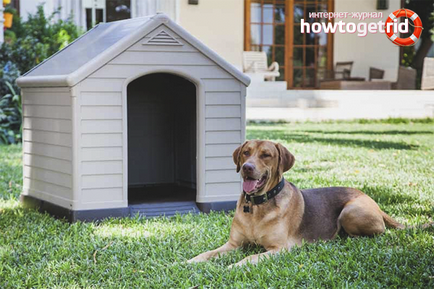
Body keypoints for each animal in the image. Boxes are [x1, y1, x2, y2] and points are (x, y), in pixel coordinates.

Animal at [187, 138, 410, 266]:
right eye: (245, 152)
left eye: (266, 155)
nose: (247, 168)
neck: (258, 206)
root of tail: (371, 200)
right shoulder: (233, 244)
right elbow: (208, 253)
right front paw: (190, 261)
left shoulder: (279, 248)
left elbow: (249, 258)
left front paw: (234, 266)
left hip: (351, 211)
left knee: (378, 231)